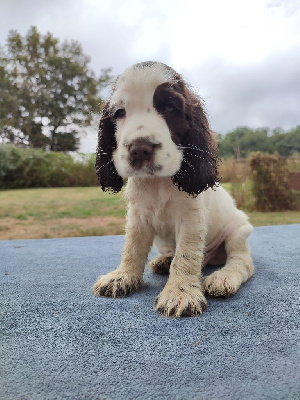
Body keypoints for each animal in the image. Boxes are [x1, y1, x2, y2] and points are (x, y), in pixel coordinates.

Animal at [92, 61, 253, 318]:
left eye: (169, 107)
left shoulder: (191, 219)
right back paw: (163, 262)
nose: (140, 149)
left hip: (238, 231)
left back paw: (222, 278)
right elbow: (132, 248)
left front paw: (181, 293)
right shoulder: (137, 217)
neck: (158, 182)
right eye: (119, 113)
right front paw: (122, 277)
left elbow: (185, 256)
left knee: (242, 261)